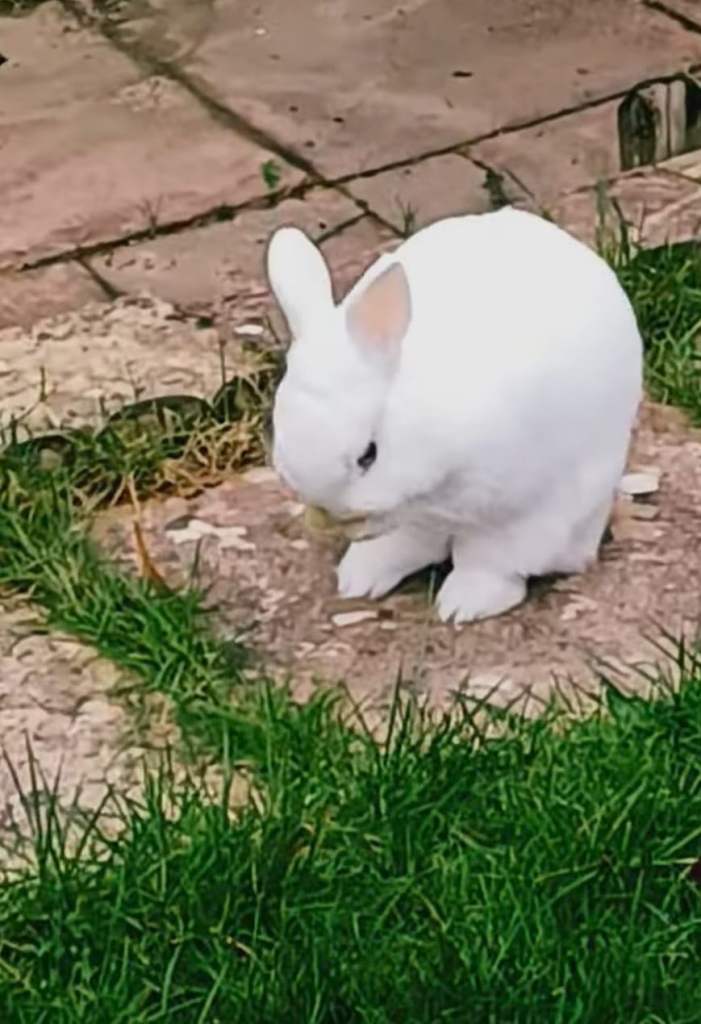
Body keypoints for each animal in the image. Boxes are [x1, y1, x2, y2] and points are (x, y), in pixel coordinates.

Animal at [266, 207, 643, 624]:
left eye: (369, 455)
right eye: (278, 428)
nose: (325, 514)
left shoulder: (518, 509)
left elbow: (490, 561)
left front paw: (461, 607)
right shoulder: (412, 517)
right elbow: (396, 545)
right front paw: (355, 581)